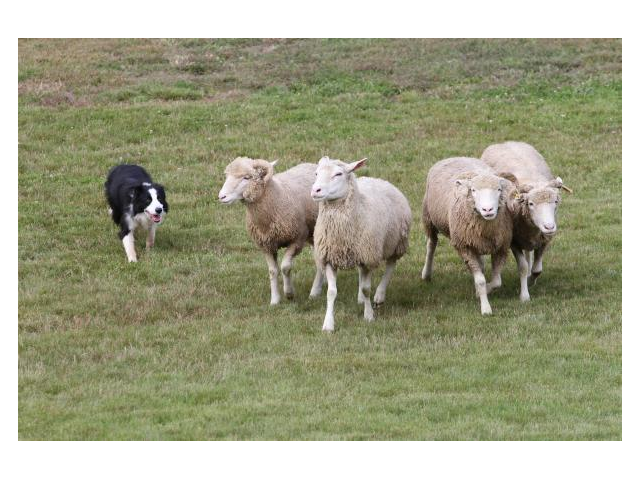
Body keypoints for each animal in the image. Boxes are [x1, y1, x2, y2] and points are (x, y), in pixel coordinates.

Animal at [218, 157, 324, 305]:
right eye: (227, 176)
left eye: (246, 177)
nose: (221, 196)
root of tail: (312, 165)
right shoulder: (266, 245)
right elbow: (273, 271)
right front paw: (275, 300)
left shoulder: (297, 240)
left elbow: (285, 267)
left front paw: (289, 293)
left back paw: (314, 292)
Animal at [311, 156, 412, 332]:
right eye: (316, 173)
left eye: (338, 174)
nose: (315, 190)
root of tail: (377, 179)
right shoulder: (329, 258)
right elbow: (331, 292)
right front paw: (328, 324)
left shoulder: (368, 256)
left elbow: (366, 289)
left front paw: (369, 315)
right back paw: (360, 298)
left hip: (396, 243)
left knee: (390, 266)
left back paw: (379, 295)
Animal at [421, 157, 513, 315]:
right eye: (474, 190)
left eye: (499, 190)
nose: (488, 209)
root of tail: (455, 157)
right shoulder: (464, 247)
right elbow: (481, 281)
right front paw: (485, 307)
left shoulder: (501, 247)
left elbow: (497, 282)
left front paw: (483, 291)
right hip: (429, 217)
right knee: (431, 245)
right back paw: (426, 274)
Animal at [480, 141, 570, 302]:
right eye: (531, 204)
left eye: (555, 201)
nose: (549, 227)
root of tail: (504, 142)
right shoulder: (514, 242)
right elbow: (522, 268)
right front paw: (524, 295)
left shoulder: (543, 240)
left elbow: (537, 269)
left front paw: (531, 280)